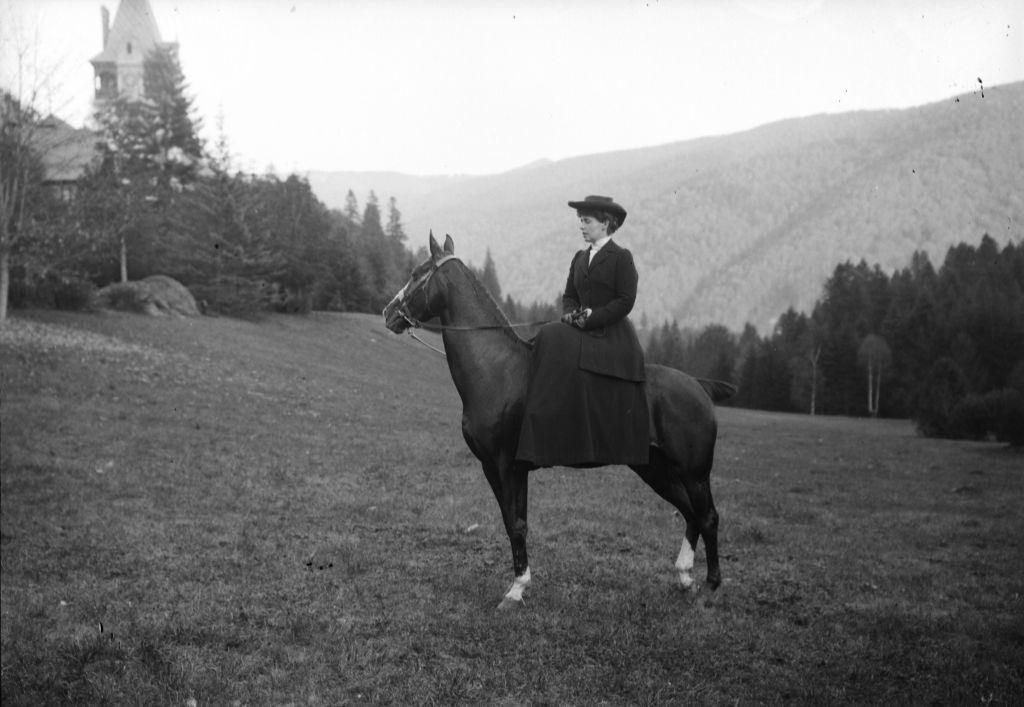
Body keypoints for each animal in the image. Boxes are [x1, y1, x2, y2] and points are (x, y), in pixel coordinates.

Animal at [382, 235, 729, 606]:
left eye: (417, 273)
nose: (388, 312)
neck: (500, 370)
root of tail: (699, 387)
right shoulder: (493, 467)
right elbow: (511, 521)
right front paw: (519, 583)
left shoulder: (508, 466)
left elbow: (517, 524)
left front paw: (516, 589)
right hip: (655, 469)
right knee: (690, 513)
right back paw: (684, 577)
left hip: (693, 472)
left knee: (707, 517)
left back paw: (710, 586)